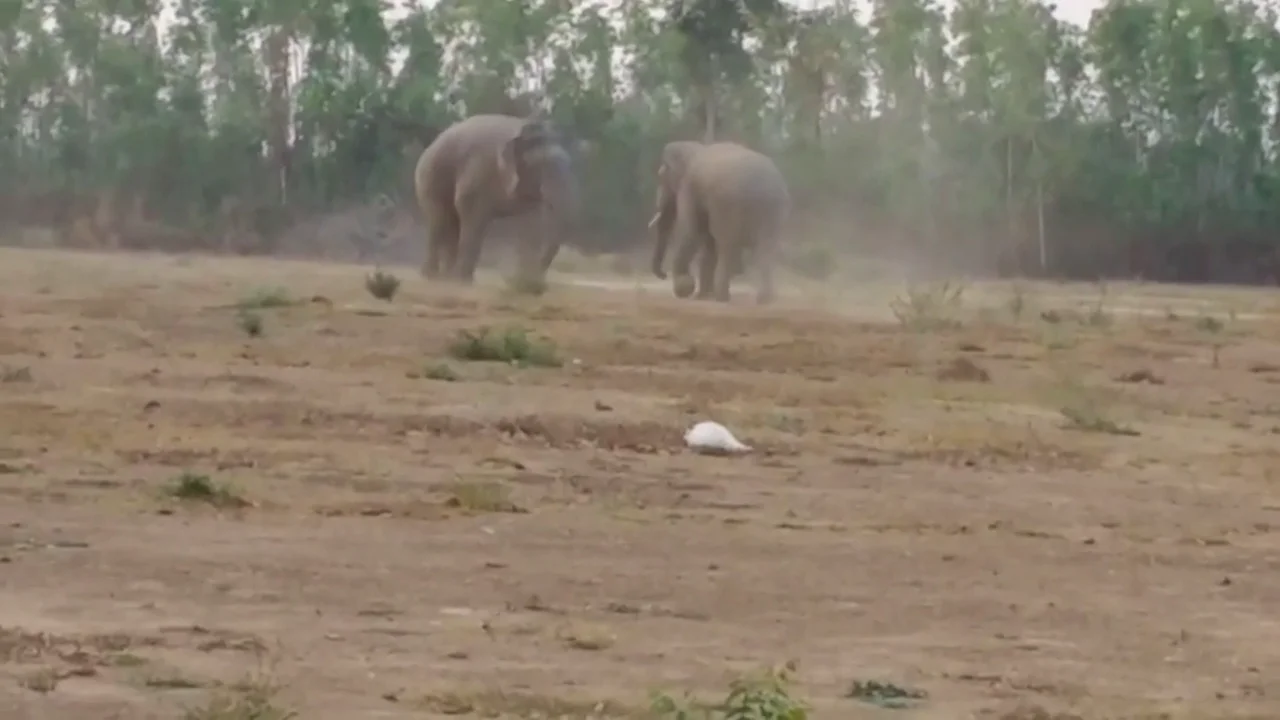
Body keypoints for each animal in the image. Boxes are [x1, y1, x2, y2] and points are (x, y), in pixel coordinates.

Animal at [413, 114, 580, 284]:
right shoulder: (479, 171)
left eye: (569, 164)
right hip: (429, 177)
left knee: (451, 221)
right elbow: (472, 213)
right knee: (439, 220)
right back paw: (433, 276)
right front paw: (463, 281)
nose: (535, 278)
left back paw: (446, 276)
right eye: (542, 166)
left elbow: (531, 221)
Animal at [649, 141, 789, 304]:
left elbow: (691, 231)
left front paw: (685, 289)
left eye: (661, 178)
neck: (695, 148)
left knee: (726, 245)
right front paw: (702, 295)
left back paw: (722, 297)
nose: (663, 275)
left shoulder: (689, 187)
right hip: (773, 209)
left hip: (729, 204)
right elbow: (707, 241)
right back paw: (764, 299)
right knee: (765, 249)